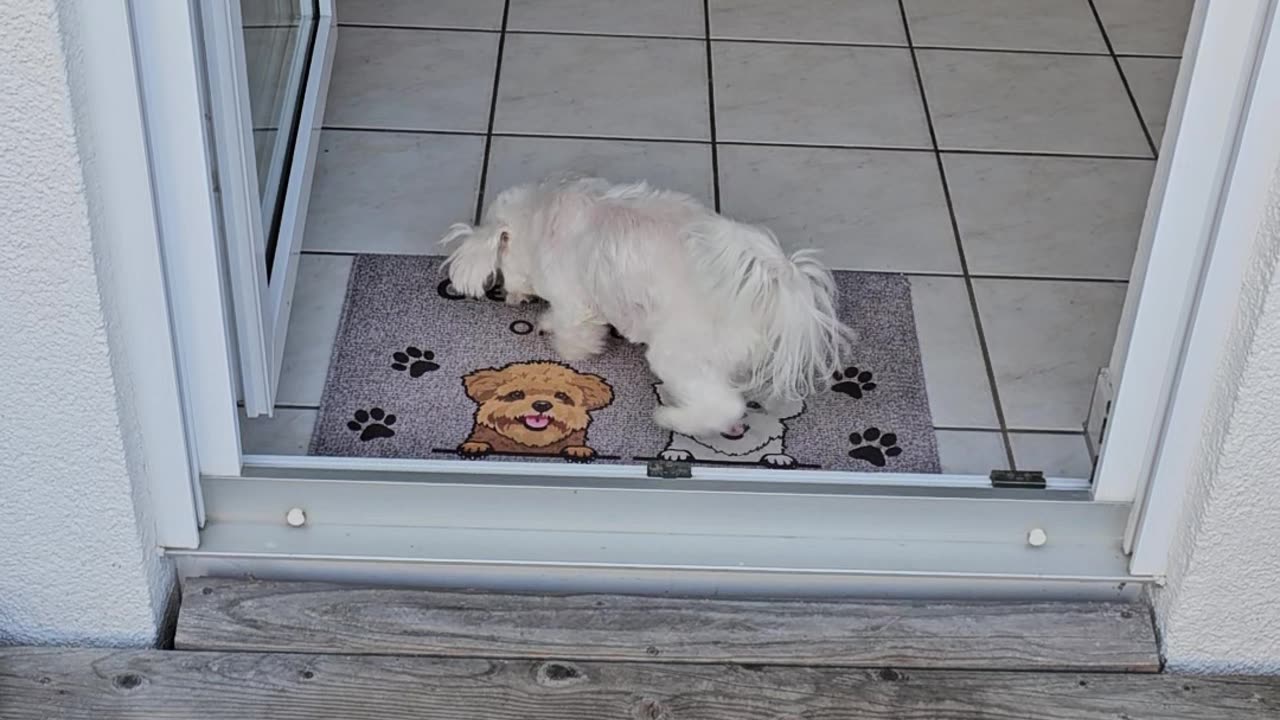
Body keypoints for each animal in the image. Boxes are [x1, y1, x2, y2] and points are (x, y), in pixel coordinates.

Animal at [440, 176, 849, 435]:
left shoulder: (574, 297)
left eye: (501, 269)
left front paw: (564, 346)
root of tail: (776, 287)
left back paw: (672, 418)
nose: (508, 296)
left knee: (721, 405)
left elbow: (575, 329)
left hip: (678, 351)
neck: (542, 214)